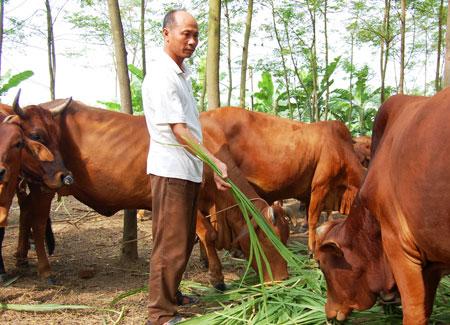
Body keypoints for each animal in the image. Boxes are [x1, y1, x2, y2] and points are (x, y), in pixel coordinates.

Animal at [13, 99, 288, 284]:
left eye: (285, 238)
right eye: (268, 239)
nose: (284, 278)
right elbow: (206, 235)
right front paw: (216, 278)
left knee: (25, 214)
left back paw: (20, 259)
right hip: (45, 185)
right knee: (36, 221)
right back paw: (45, 271)